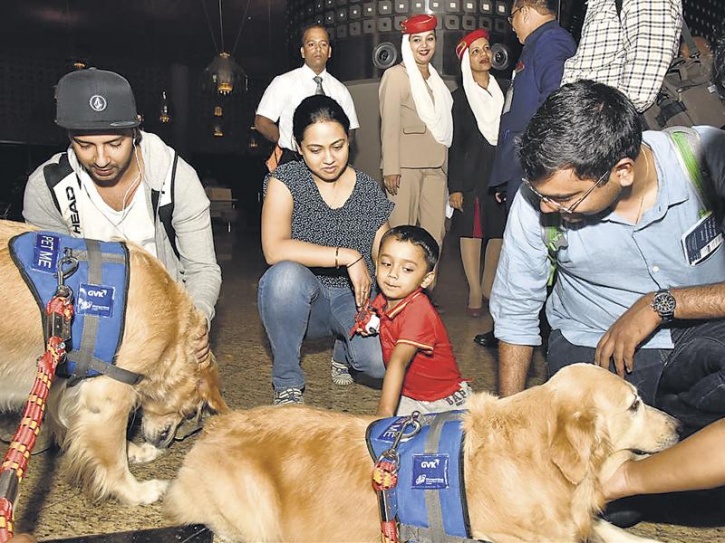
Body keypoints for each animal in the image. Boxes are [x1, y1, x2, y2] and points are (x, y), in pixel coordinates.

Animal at [0, 219, 228, 505]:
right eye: (190, 410)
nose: (165, 441)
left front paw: (135, 451)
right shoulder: (108, 395)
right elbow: (112, 455)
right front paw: (136, 491)